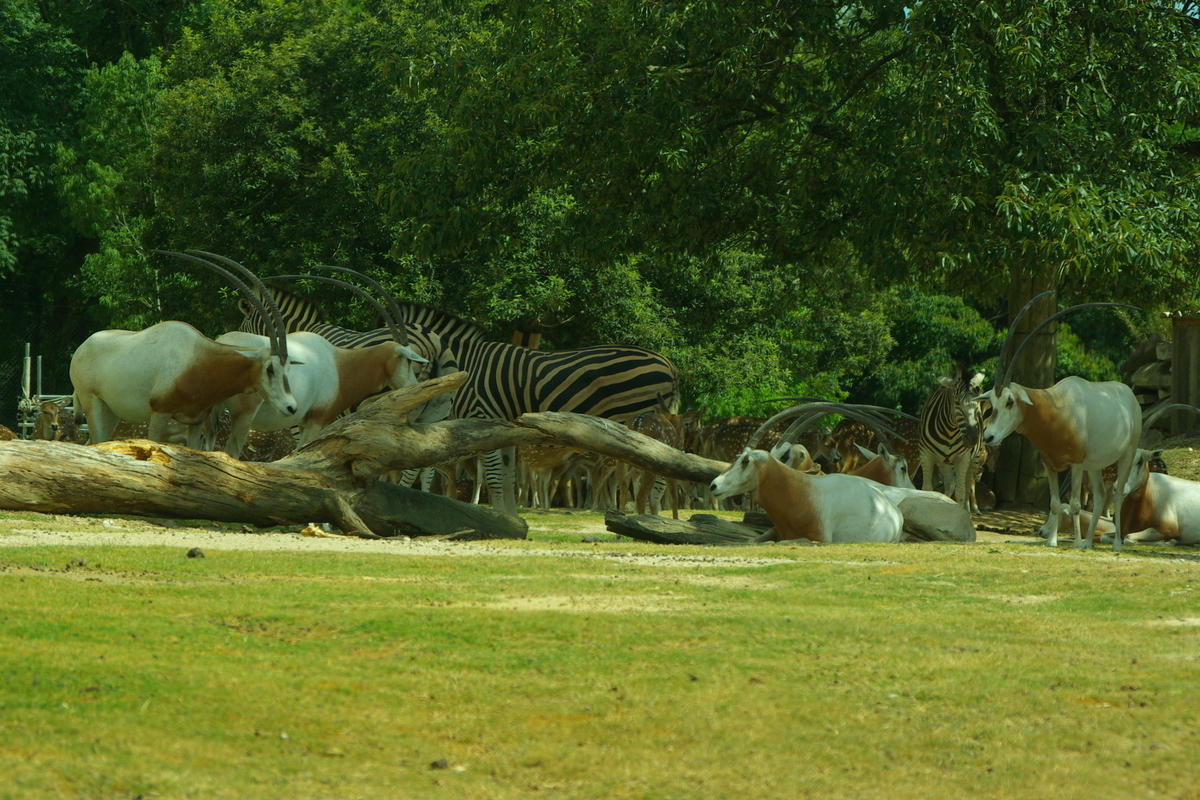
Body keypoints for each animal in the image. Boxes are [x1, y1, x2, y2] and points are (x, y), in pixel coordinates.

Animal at [916, 362, 984, 513]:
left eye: (977, 406)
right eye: (957, 403)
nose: (972, 438)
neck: (950, 432)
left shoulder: (964, 458)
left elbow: (960, 492)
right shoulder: (926, 455)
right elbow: (927, 489)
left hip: (974, 459)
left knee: (967, 486)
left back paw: (967, 511)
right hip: (943, 461)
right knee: (949, 484)